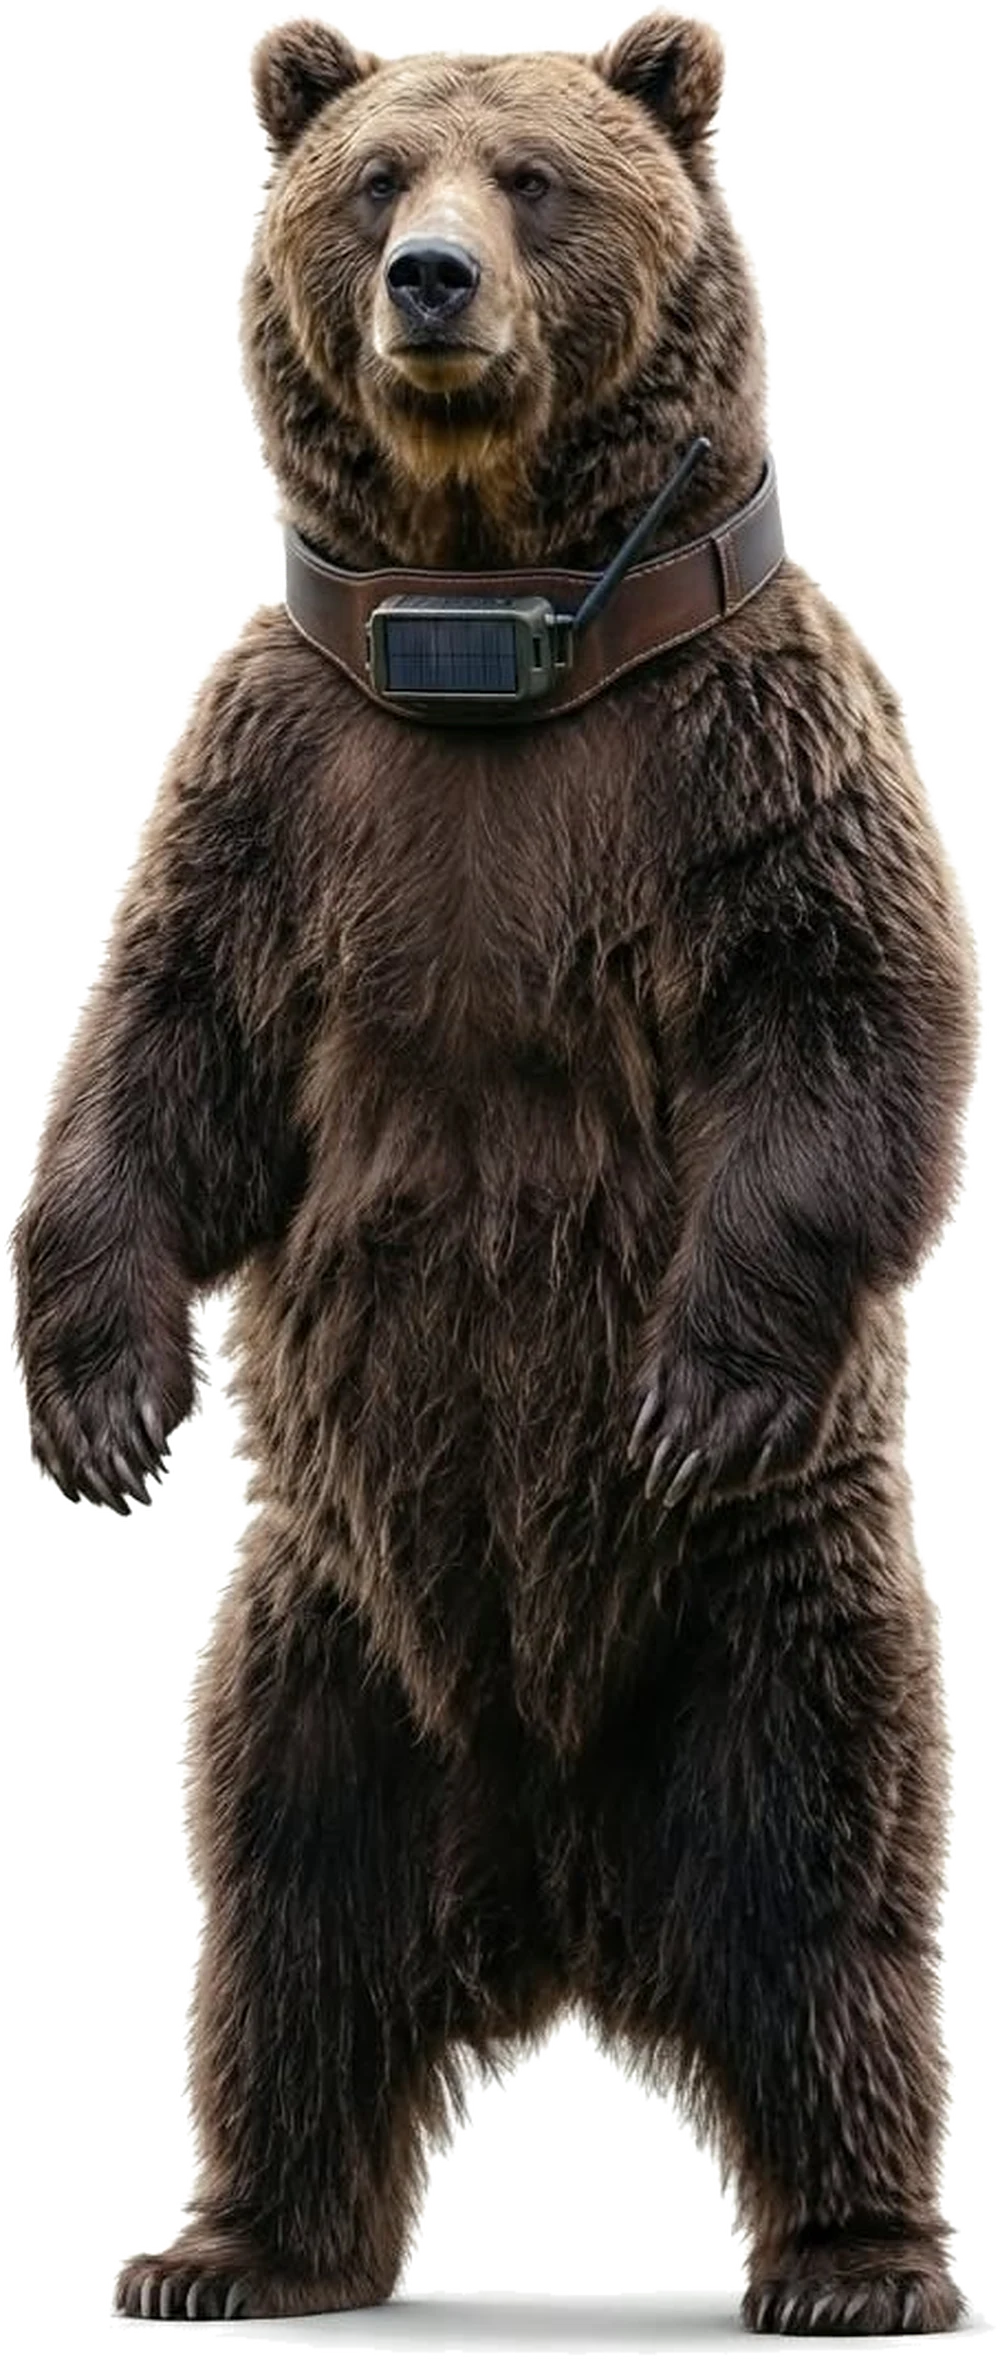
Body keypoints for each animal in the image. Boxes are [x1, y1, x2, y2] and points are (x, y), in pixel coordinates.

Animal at [9, 5, 981, 2331]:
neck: (490, 625)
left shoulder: (746, 751)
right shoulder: (276, 778)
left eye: (532, 178)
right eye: (378, 178)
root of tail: (556, 1900)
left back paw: (851, 2250)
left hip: (763, 1606)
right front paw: (99, 1404)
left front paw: (696, 1376)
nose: (431, 284)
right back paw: (227, 2237)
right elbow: (157, 1049)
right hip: (323, 1627)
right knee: (278, 1912)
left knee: (825, 1882)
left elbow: (844, 1017)